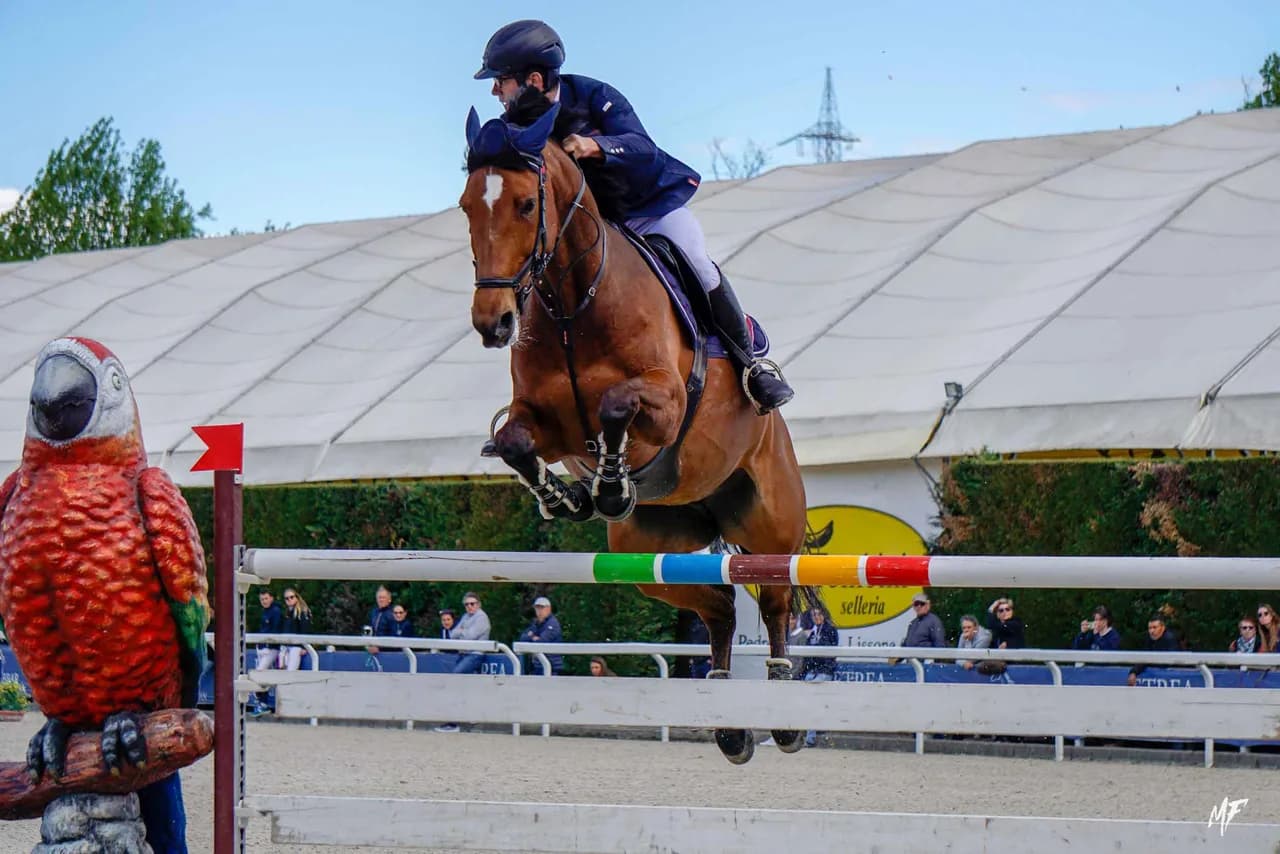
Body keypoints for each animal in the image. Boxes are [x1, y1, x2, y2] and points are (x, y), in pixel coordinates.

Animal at [460, 99, 811, 764]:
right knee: (720, 606)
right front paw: (566, 495)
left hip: (768, 521)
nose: (494, 324)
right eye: (467, 206)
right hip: (648, 551)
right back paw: (728, 721)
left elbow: (617, 407)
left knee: (776, 598)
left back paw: (783, 715)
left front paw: (611, 484)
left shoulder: (665, 405)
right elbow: (517, 441)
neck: (573, 304)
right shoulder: (544, 422)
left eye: (525, 205)